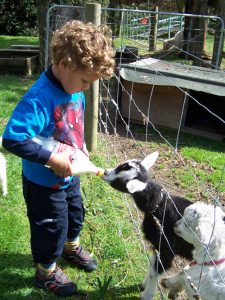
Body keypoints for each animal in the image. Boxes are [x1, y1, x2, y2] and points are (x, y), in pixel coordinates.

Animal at [103, 152, 194, 300]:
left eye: (122, 181)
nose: (105, 172)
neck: (158, 205)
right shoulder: (158, 246)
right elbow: (151, 266)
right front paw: (143, 285)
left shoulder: (167, 249)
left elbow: (155, 273)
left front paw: (146, 295)